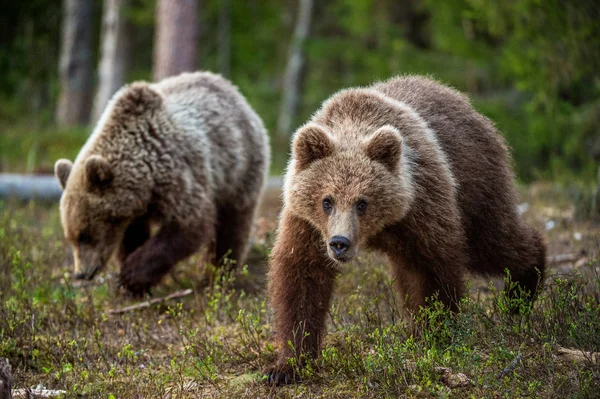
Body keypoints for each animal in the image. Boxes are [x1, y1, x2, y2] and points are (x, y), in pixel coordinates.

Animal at [54, 72, 270, 294]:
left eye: (85, 235)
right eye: (70, 237)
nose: (81, 273)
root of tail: (232, 90)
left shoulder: (177, 174)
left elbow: (190, 224)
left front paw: (131, 275)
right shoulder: (134, 209)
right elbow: (133, 236)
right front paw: (134, 285)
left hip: (239, 168)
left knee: (233, 224)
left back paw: (217, 276)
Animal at [268, 75, 544, 384]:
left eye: (362, 202)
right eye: (326, 200)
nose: (339, 242)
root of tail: (469, 105)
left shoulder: (421, 204)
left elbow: (433, 268)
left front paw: (436, 335)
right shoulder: (307, 224)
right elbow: (301, 277)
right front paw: (287, 365)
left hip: (475, 182)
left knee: (492, 242)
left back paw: (522, 290)